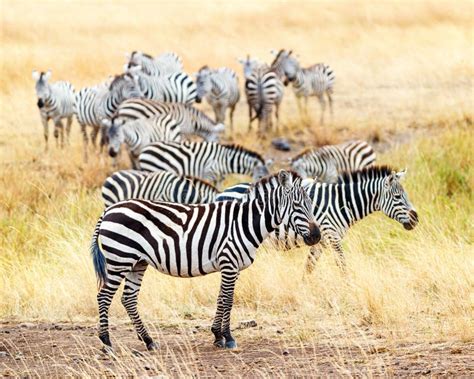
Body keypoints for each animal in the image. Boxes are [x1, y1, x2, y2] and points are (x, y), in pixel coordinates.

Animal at [91, 171, 322, 352]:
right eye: (297, 205)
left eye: (312, 205)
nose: (316, 236)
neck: (244, 222)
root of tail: (109, 210)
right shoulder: (229, 262)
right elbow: (228, 300)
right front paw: (228, 338)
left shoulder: (232, 267)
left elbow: (222, 299)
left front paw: (217, 336)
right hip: (119, 259)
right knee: (104, 296)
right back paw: (107, 343)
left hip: (137, 262)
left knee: (128, 299)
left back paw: (149, 341)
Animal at [138, 142, 270, 185]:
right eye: (260, 176)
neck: (224, 160)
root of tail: (144, 150)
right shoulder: (209, 174)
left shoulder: (220, 178)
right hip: (152, 169)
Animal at [215, 166, 418, 270]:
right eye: (398, 197)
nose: (416, 219)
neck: (340, 202)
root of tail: (220, 194)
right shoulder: (332, 236)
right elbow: (342, 264)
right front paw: (348, 287)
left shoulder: (321, 241)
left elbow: (309, 267)